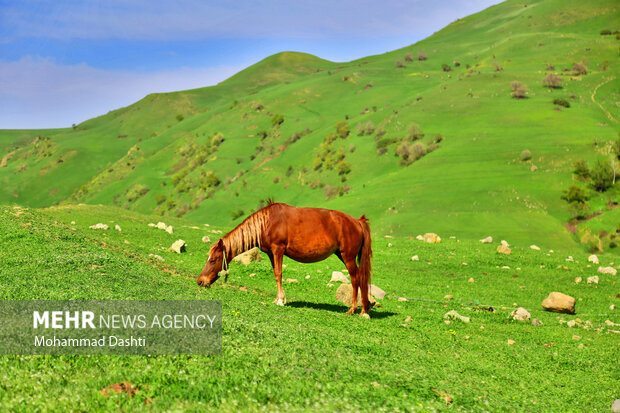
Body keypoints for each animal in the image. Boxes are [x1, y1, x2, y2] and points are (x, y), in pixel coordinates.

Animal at [197, 200, 372, 316]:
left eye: (213, 260)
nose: (200, 281)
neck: (267, 222)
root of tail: (357, 221)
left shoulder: (278, 250)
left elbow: (278, 274)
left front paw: (281, 300)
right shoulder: (271, 253)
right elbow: (276, 273)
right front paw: (278, 299)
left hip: (348, 257)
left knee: (356, 278)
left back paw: (355, 309)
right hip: (342, 255)